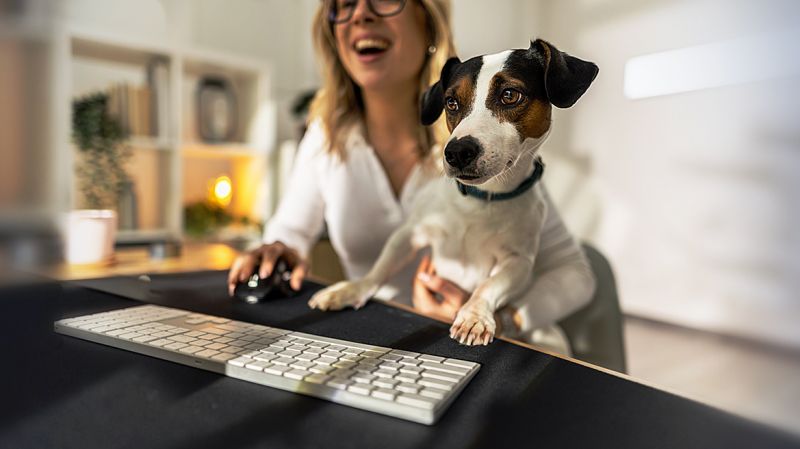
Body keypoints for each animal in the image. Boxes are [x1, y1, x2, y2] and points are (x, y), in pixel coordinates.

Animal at [310, 39, 596, 346]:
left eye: (510, 95)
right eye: (451, 102)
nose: (457, 152)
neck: (480, 198)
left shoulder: (518, 261)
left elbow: (490, 284)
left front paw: (474, 314)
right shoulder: (410, 234)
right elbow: (380, 267)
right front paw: (350, 289)